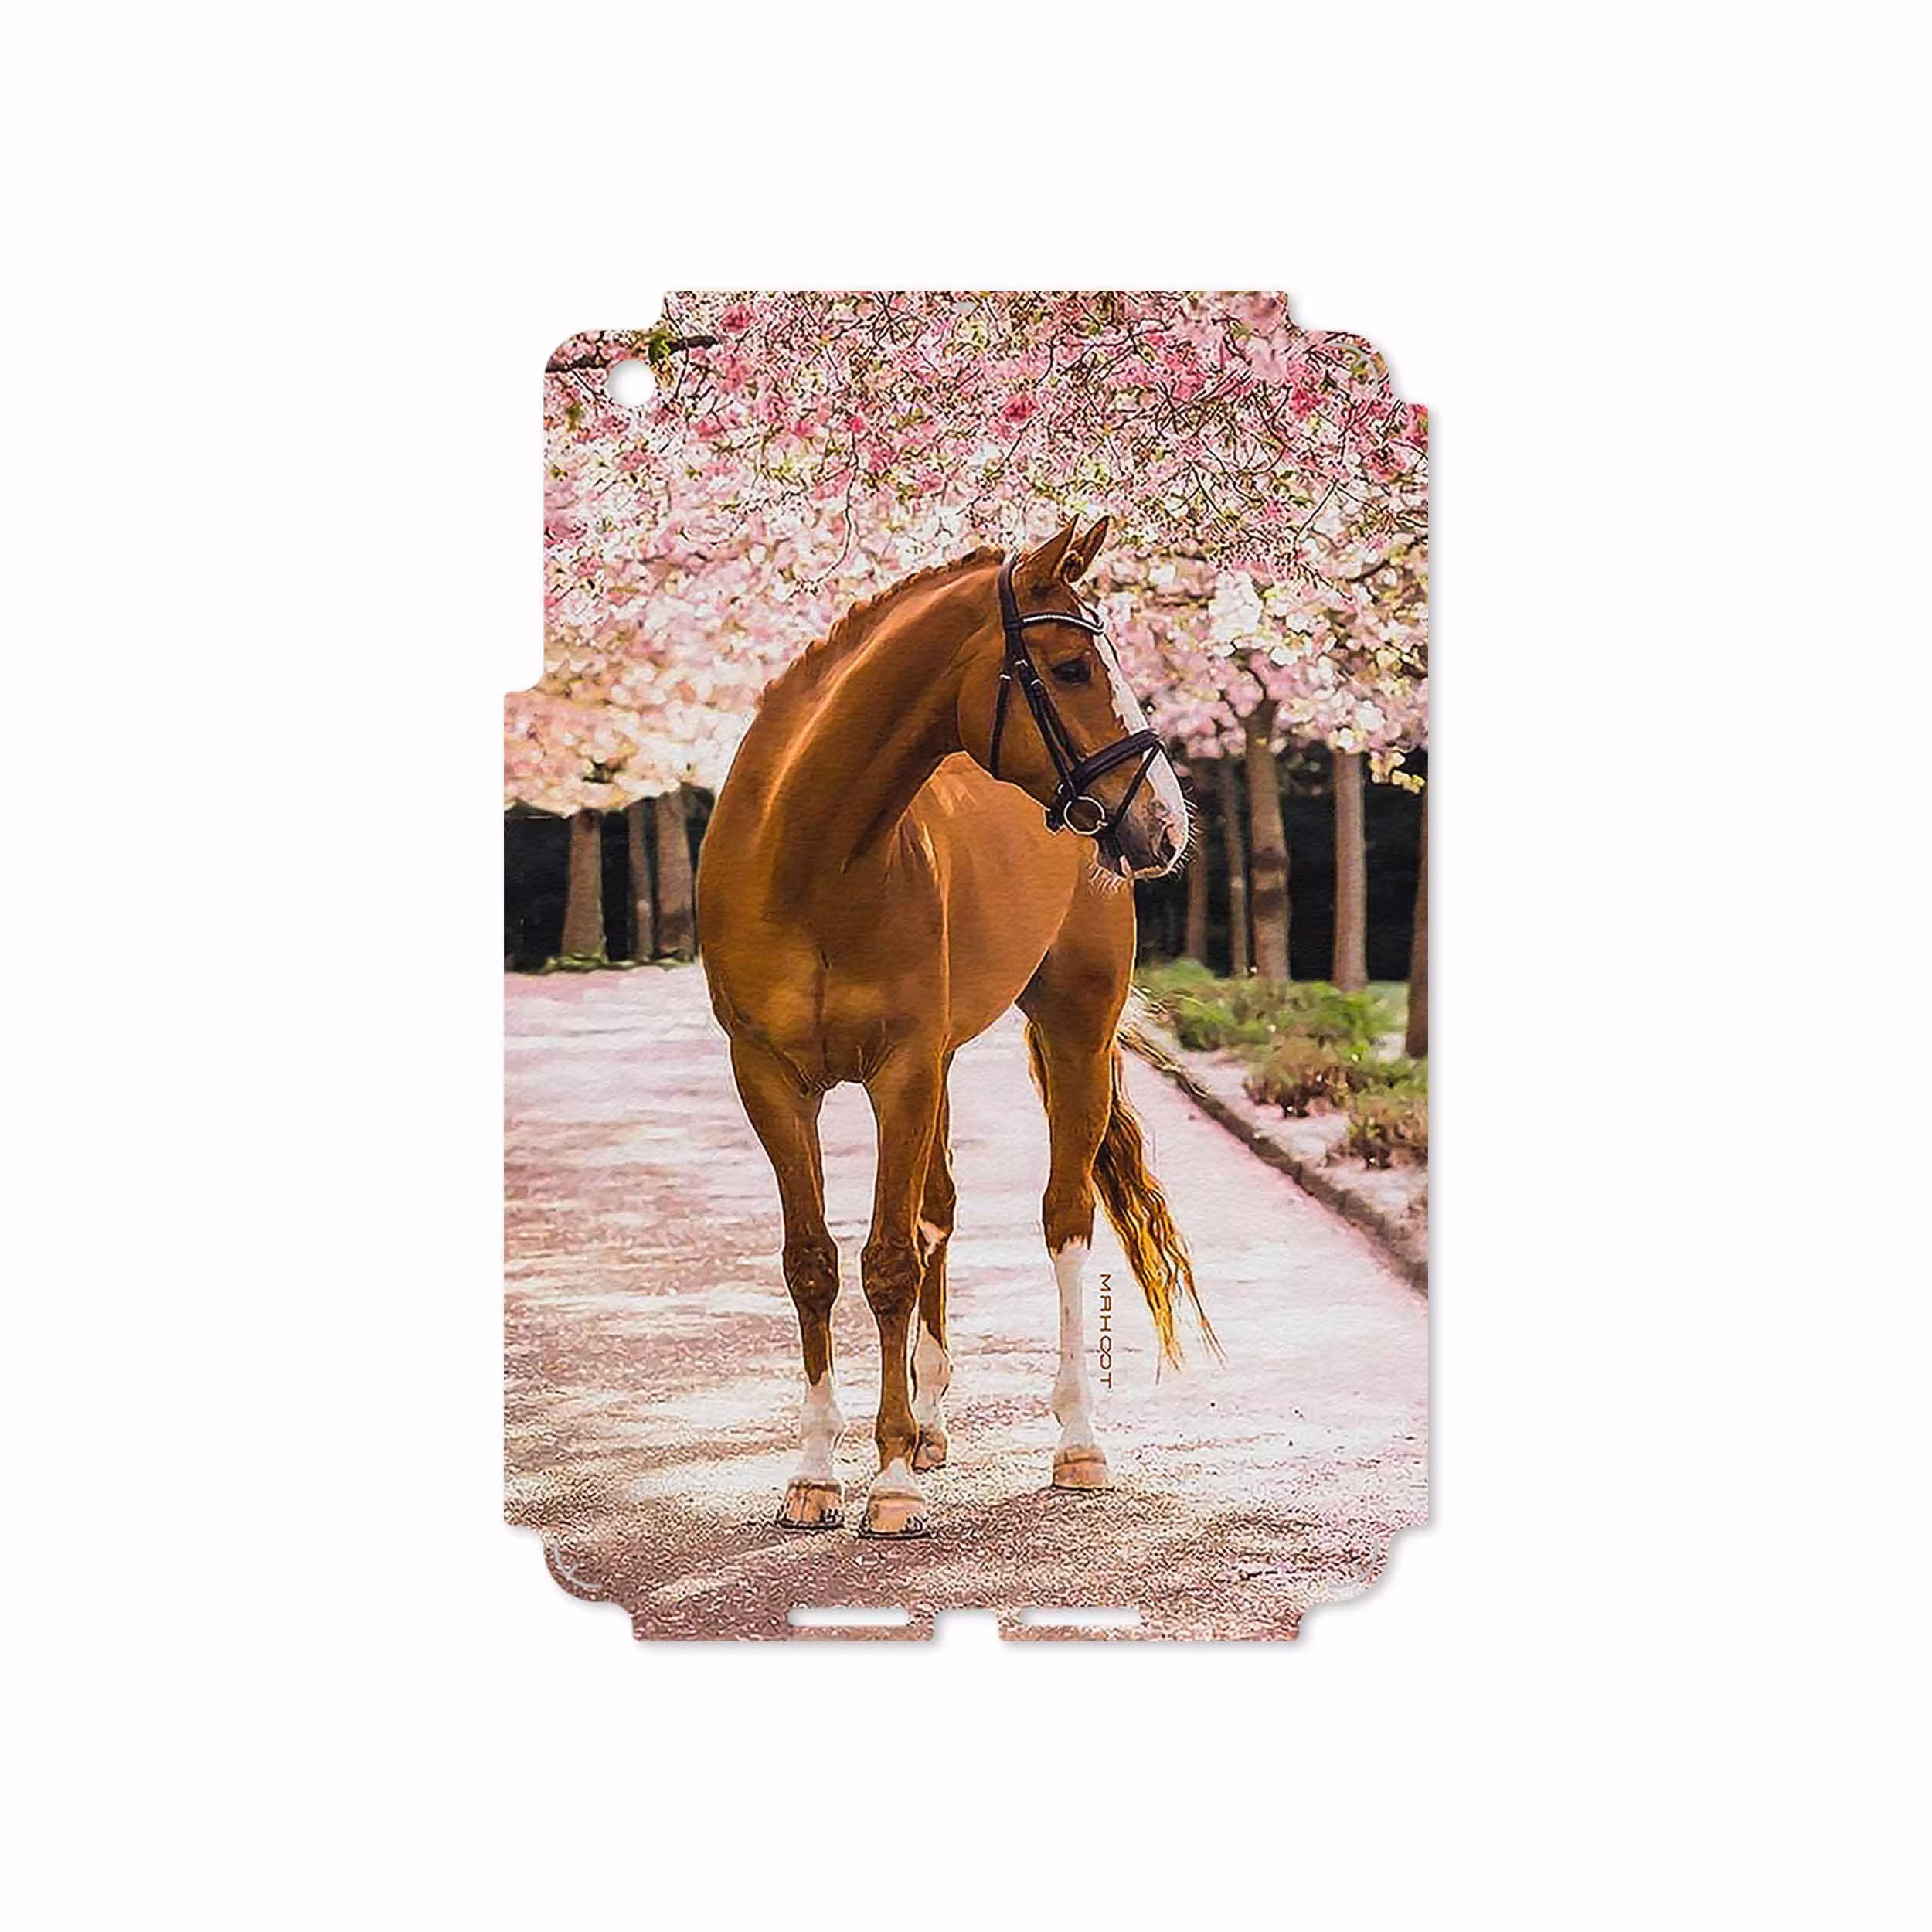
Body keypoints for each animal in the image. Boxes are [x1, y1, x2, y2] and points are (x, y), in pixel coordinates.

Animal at [697, 517, 1215, 1537]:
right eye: (1068, 667)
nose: (1165, 825)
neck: (809, 857)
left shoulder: (899, 1070)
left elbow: (889, 1261)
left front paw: (890, 1480)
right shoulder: (770, 1079)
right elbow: (813, 1262)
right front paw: (816, 1473)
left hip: (1072, 1032)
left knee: (1063, 1218)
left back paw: (1073, 1441)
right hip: (937, 1064)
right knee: (937, 1209)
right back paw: (932, 1423)